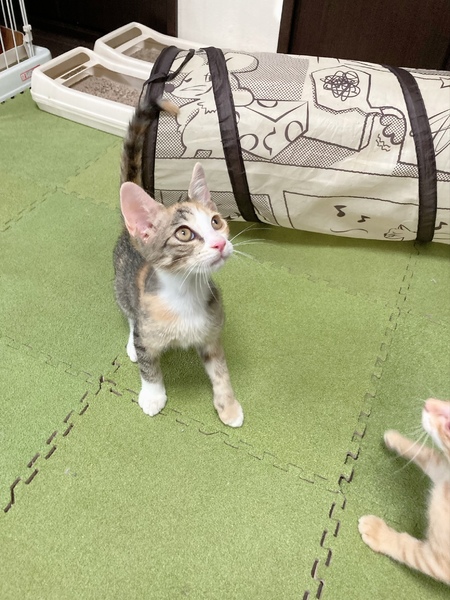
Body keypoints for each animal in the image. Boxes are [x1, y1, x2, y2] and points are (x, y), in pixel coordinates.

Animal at [113, 99, 244, 427]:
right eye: (184, 233)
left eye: (216, 222)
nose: (219, 243)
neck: (186, 294)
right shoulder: (147, 324)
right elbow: (149, 365)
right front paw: (153, 396)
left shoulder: (212, 334)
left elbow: (221, 371)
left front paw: (228, 406)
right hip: (121, 286)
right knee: (130, 314)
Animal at [359, 398, 450, 585]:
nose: (428, 403)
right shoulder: (441, 469)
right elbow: (426, 453)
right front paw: (395, 438)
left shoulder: (441, 562)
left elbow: (406, 548)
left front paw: (378, 533)